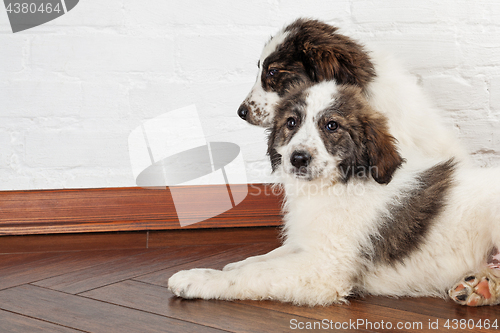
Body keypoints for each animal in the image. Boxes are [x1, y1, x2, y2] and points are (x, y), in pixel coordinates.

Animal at [170, 81, 500, 306]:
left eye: (331, 126)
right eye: (291, 123)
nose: (298, 159)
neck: (334, 186)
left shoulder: (325, 268)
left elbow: (250, 276)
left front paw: (196, 278)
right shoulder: (308, 242)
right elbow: (266, 257)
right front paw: (237, 262)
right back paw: (478, 287)